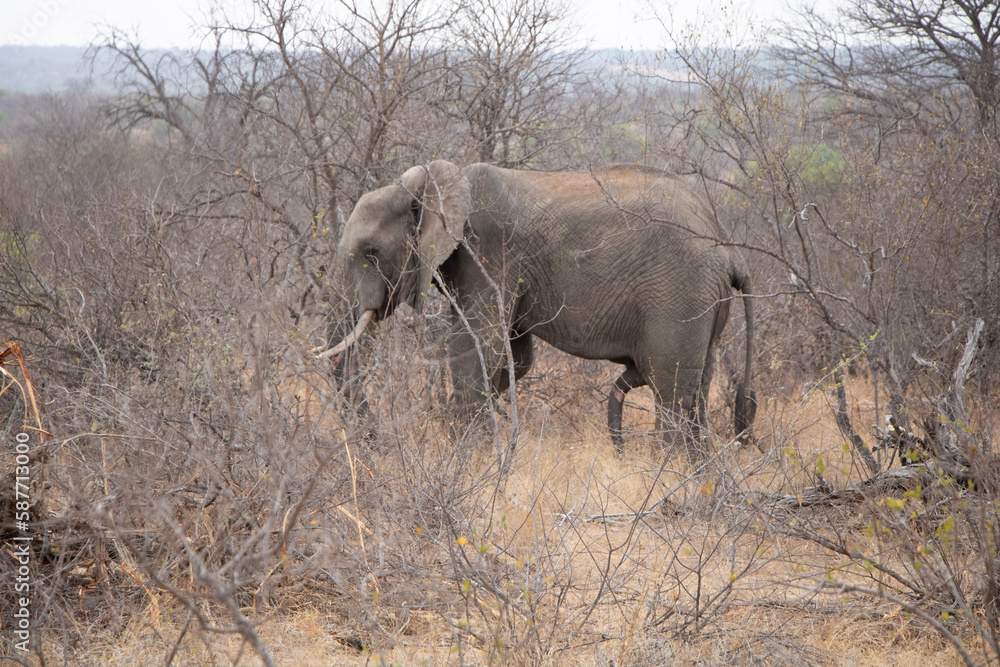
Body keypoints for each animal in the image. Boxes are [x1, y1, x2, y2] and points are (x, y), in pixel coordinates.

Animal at [321, 160, 756, 453]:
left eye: (372, 252)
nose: (375, 443)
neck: (437, 182)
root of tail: (728, 248)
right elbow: (515, 354)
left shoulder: (488, 253)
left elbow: (473, 346)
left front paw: (471, 455)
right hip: (706, 303)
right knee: (699, 385)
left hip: (680, 296)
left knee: (671, 387)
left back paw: (666, 470)